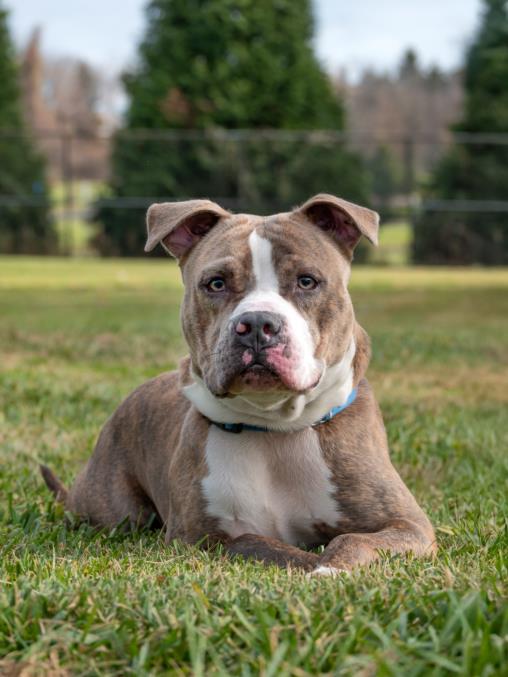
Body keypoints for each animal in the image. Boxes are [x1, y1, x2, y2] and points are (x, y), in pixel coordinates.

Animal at [41, 193, 436, 575]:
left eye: (307, 281)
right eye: (216, 283)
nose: (258, 324)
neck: (275, 427)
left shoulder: (409, 525)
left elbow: (354, 540)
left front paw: (329, 567)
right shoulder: (197, 539)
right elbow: (257, 543)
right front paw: (309, 563)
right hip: (117, 512)